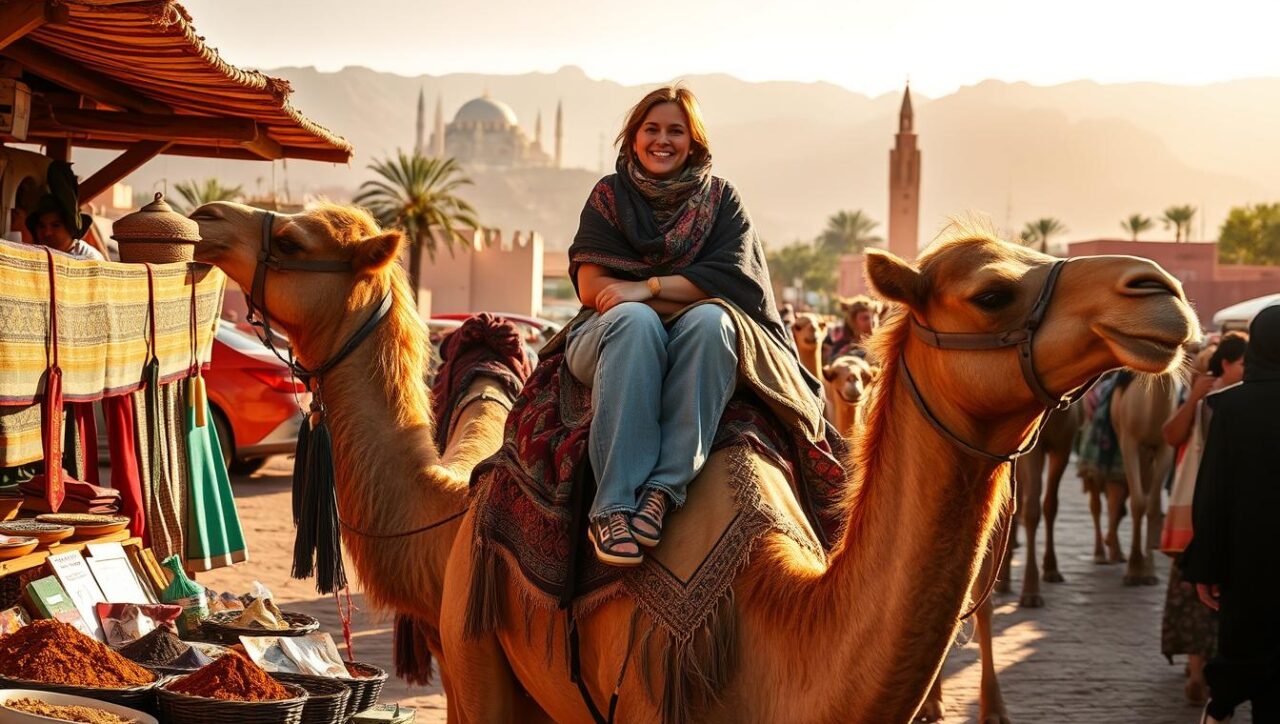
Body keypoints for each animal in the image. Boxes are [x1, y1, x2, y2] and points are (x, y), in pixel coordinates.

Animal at [1109, 375, 1179, 585]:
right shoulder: (1129, 442)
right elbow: (1138, 503)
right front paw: (1133, 571)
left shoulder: (1165, 448)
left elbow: (1153, 506)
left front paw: (1149, 573)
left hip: (1149, 454)